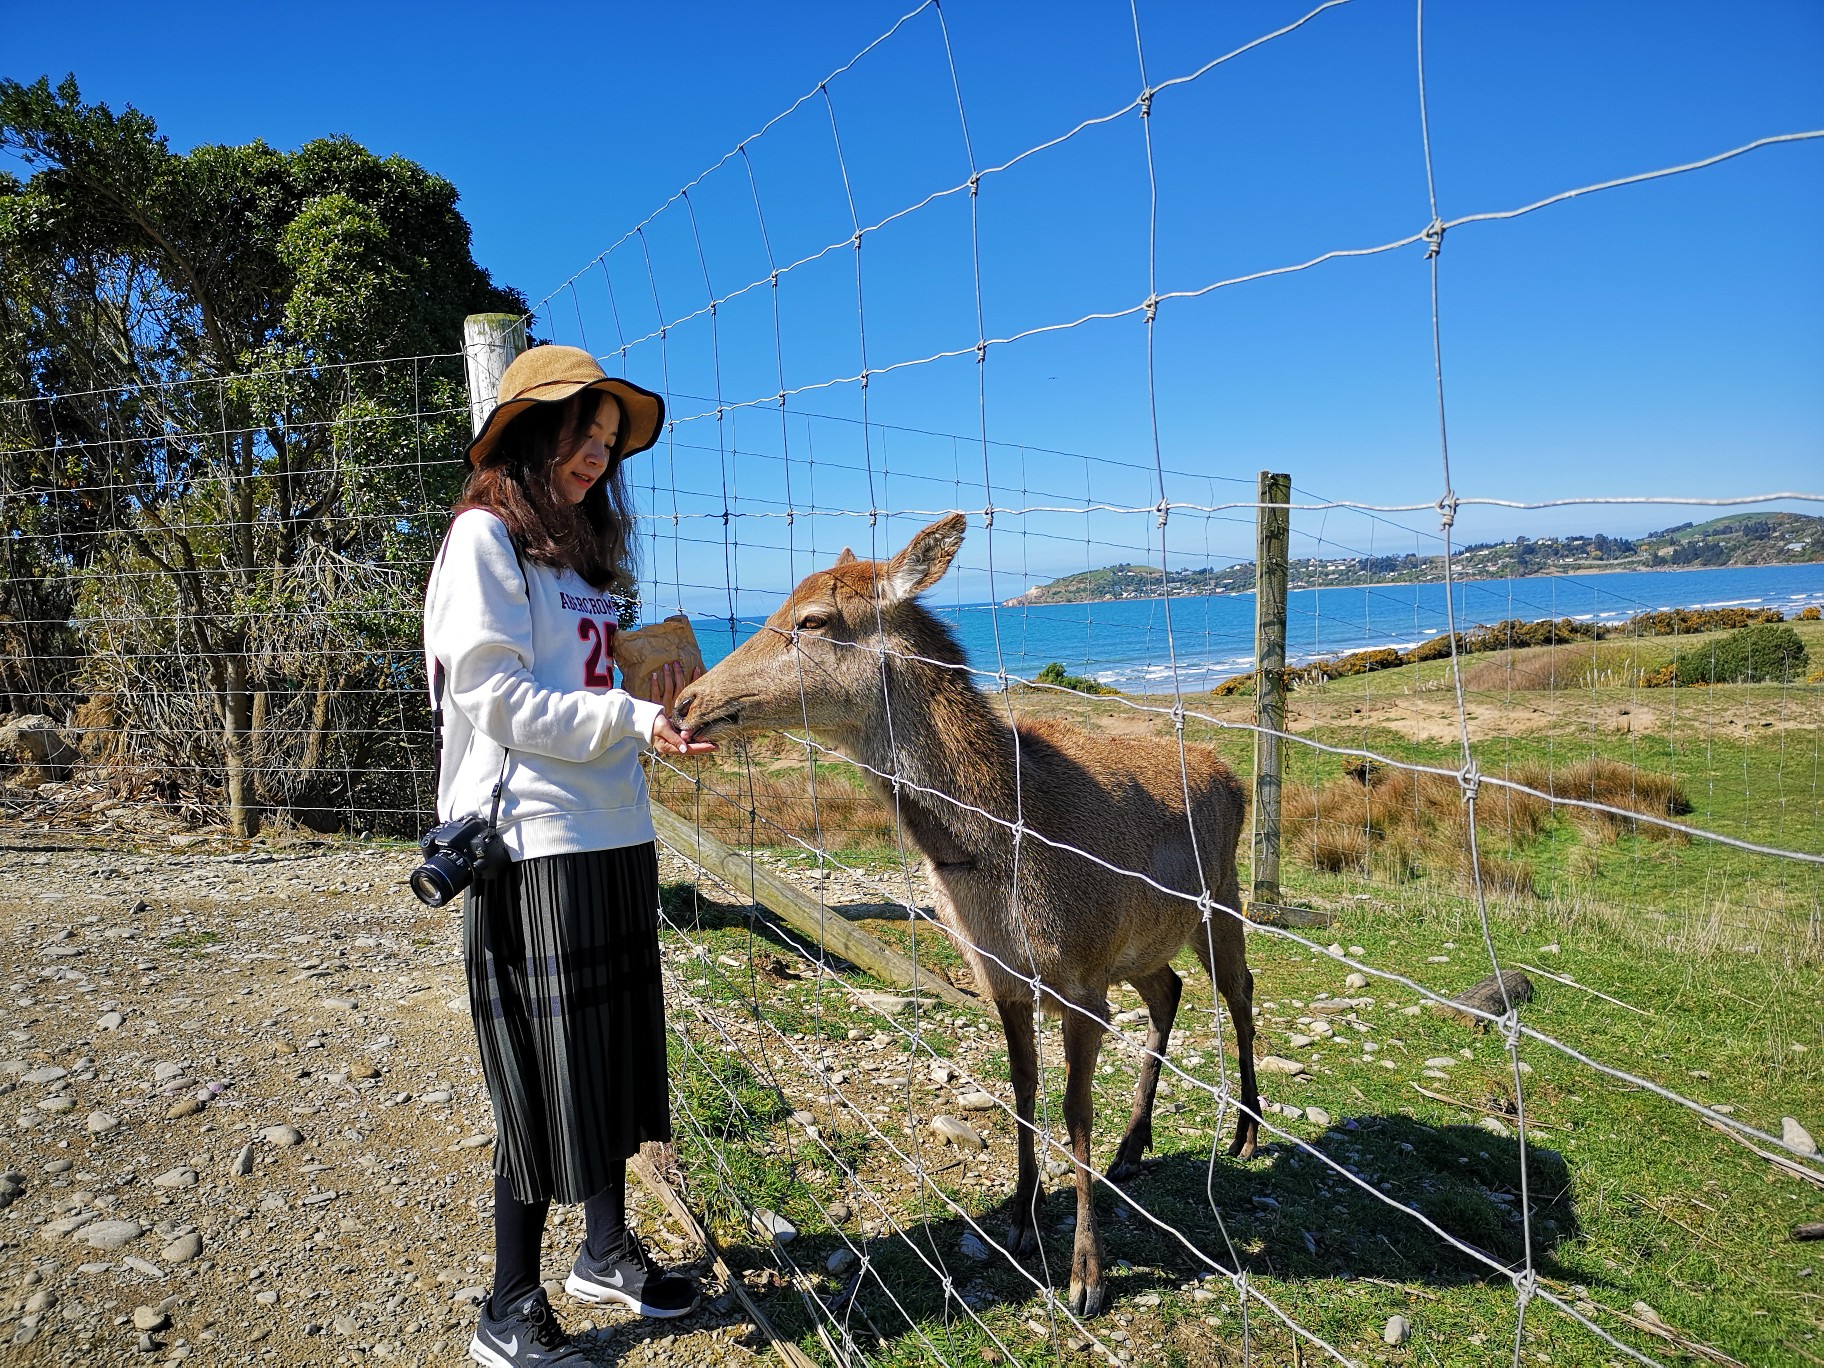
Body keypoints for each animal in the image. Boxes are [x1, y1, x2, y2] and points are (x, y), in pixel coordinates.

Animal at [678, 514, 1262, 1320]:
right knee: (1170, 991)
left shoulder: (1082, 978)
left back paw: (1245, 1135)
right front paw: (1019, 1219)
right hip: (1141, 944)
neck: (999, 857)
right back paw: (1133, 1148)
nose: (685, 702)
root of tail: (1232, 773)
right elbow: (1022, 1094)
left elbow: (1075, 1113)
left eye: (814, 619)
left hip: (1222, 900)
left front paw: (1086, 1276)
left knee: (1239, 992)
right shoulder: (1004, 976)